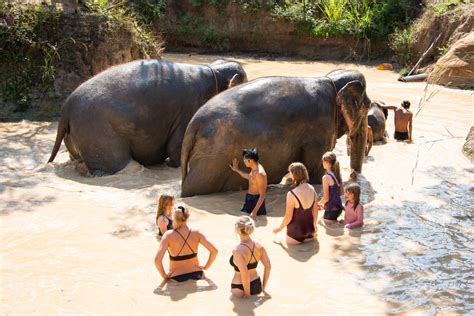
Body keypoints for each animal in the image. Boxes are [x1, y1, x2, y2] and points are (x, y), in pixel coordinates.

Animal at [181, 70, 370, 196]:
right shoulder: (320, 129)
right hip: (212, 158)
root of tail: (192, 126)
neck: (331, 80)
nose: (354, 175)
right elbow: (316, 170)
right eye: (366, 106)